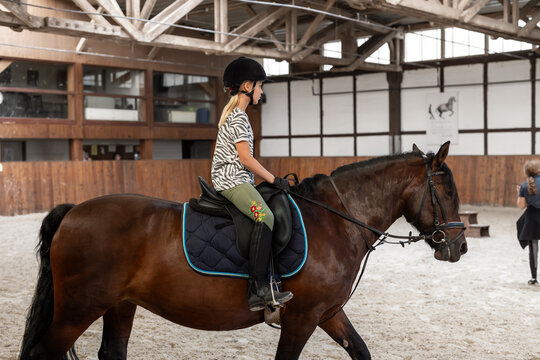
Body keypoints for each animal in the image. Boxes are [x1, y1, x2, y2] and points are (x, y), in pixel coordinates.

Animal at [20, 143, 468, 360]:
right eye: (447, 191)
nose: (460, 246)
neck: (336, 220)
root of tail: (73, 211)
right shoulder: (302, 318)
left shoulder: (328, 313)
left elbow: (361, 351)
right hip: (79, 307)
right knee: (45, 353)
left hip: (119, 305)